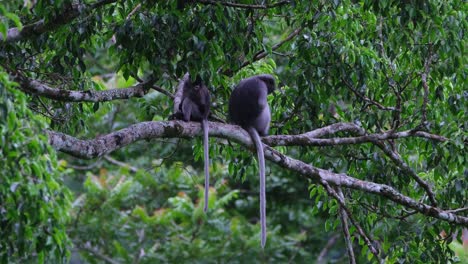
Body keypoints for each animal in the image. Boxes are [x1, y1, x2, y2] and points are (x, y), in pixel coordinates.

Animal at [171, 72, 211, 212]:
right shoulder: (187, 85)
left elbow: (196, 100)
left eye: (199, 83)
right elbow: (184, 94)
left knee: (190, 102)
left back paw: (185, 118)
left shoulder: (200, 93)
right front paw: (177, 109)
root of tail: (203, 117)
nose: (197, 86)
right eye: (195, 82)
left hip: (197, 113)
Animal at [229, 73, 276, 248]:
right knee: (265, 108)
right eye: (271, 86)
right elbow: (262, 105)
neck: (258, 78)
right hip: (259, 121)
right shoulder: (261, 87)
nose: (273, 91)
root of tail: (245, 124)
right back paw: (263, 133)